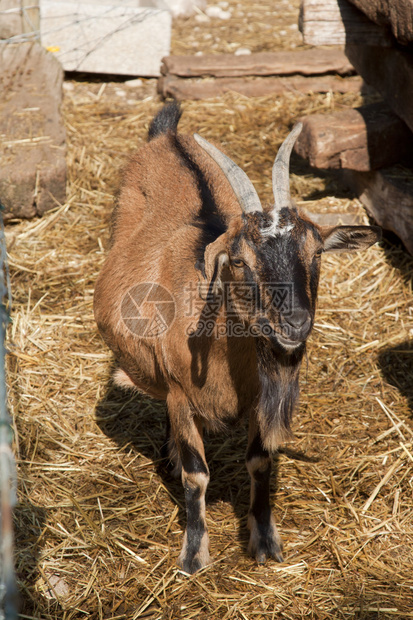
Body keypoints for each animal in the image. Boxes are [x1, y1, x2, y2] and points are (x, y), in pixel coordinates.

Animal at [93, 104, 380, 572]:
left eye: (317, 252)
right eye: (240, 261)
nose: (295, 323)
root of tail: (167, 135)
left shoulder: (261, 397)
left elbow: (260, 462)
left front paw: (264, 541)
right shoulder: (180, 394)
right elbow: (196, 474)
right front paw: (194, 554)